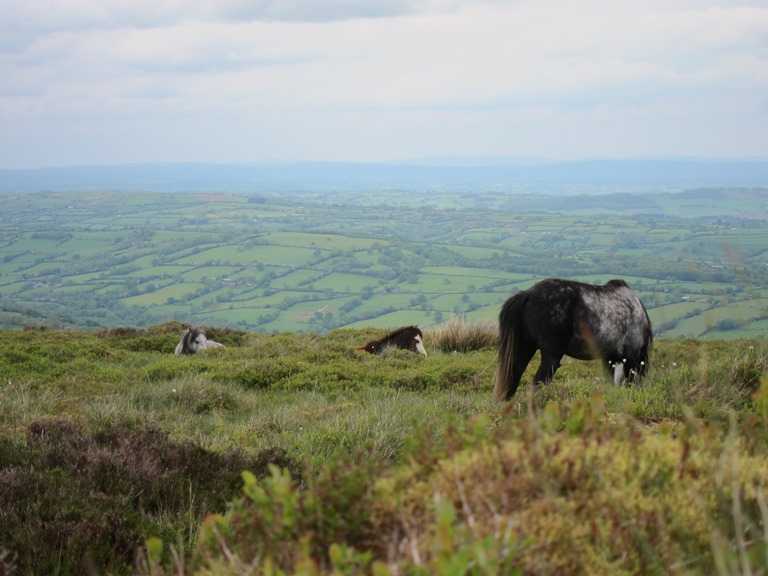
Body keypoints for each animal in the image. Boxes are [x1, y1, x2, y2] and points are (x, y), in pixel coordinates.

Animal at [496, 280, 652, 400]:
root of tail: (529, 293)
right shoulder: (630, 356)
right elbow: (629, 382)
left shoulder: (610, 359)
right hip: (551, 356)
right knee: (538, 382)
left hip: (526, 348)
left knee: (515, 375)